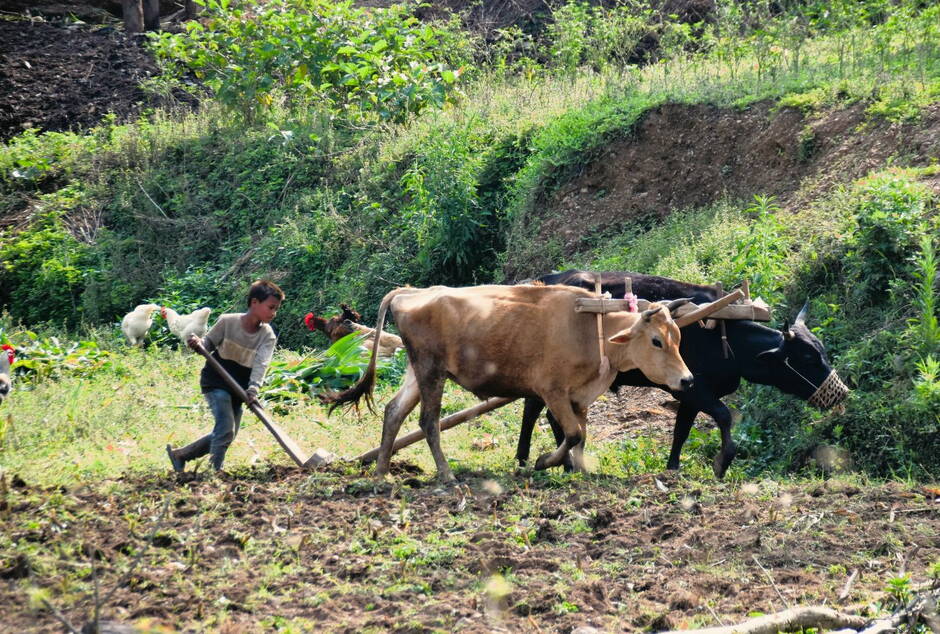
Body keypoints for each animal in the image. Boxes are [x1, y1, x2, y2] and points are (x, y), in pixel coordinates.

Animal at [516, 270, 848, 476]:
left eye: (821, 350)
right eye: (807, 357)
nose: (841, 392)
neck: (725, 337)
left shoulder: (688, 394)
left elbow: (681, 431)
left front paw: (672, 467)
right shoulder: (695, 390)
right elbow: (724, 416)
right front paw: (722, 462)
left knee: (539, 410)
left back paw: (542, 461)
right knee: (543, 412)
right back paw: (550, 462)